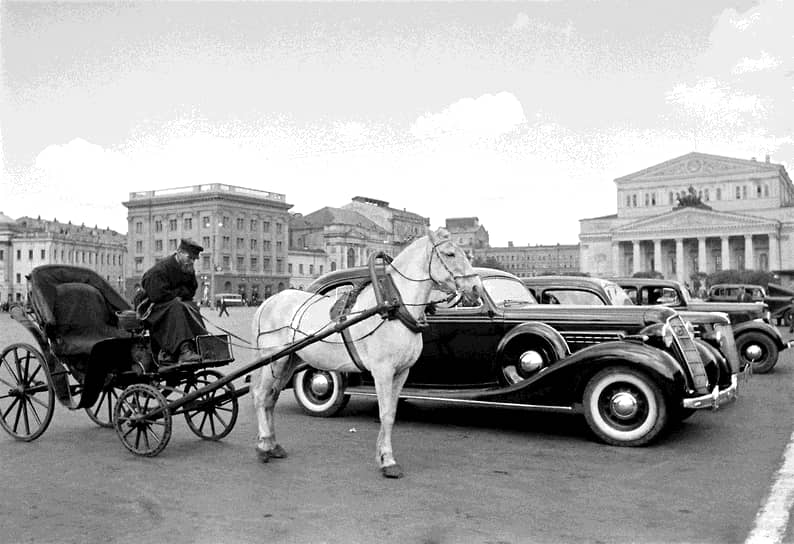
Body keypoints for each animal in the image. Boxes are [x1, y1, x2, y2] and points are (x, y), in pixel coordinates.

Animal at [251, 227, 480, 478]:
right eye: (450, 254)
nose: (477, 288)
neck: (394, 307)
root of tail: (268, 302)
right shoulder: (383, 371)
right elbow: (385, 414)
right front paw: (388, 460)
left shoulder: (402, 372)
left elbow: (391, 413)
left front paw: (382, 455)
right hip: (273, 360)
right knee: (261, 396)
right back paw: (263, 446)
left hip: (289, 360)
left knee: (270, 398)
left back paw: (273, 444)